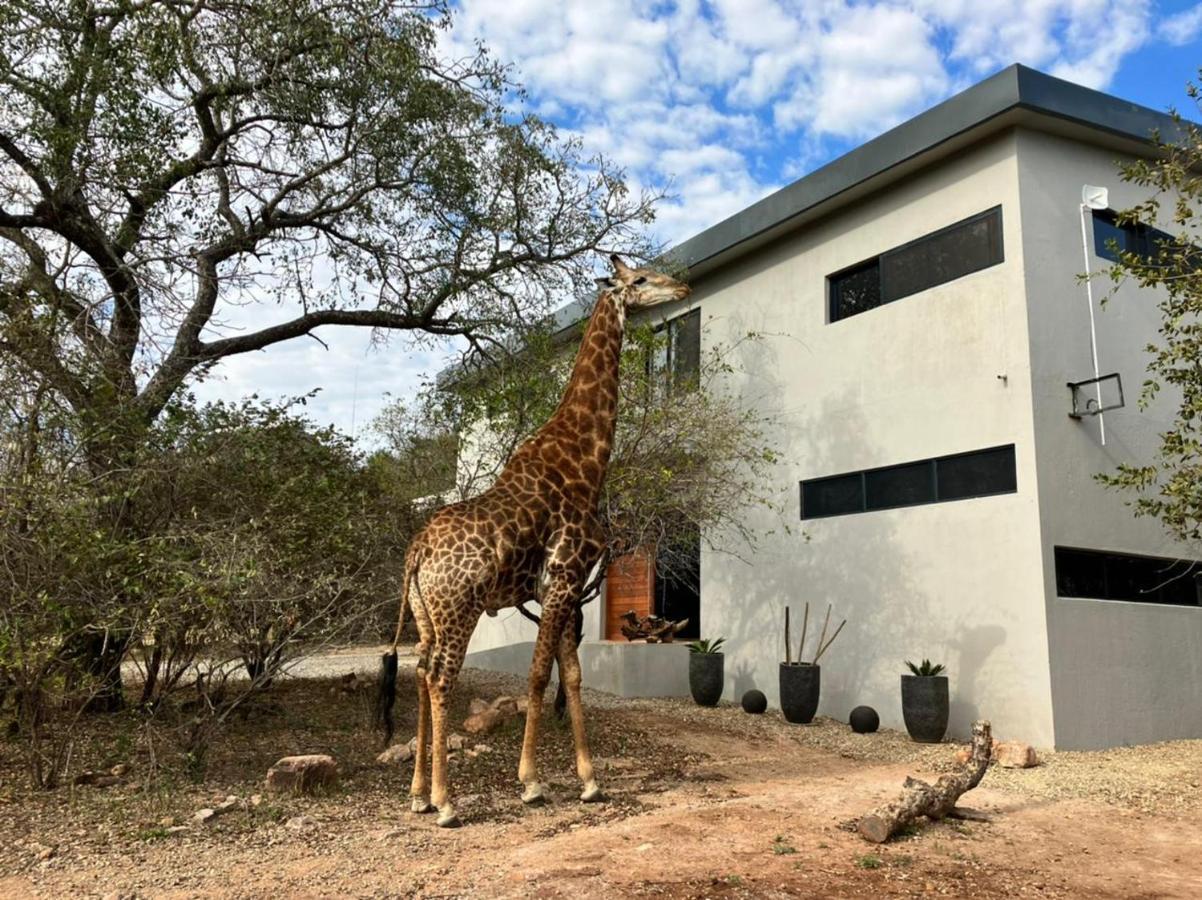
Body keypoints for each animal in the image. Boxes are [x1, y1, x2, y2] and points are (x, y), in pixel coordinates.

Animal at [375, 254, 697, 826]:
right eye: (640, 279)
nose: (682, 286)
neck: (584, 460)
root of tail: (417, 551)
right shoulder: (565, 576)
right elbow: (537, 677)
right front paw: (530, 783)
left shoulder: (562, 588)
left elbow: (572, 676)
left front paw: (590, 781)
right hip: (459, 609)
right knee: (440, 679)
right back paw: (446, 802)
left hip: (423, 614)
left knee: (418, 672)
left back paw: (416, 794)